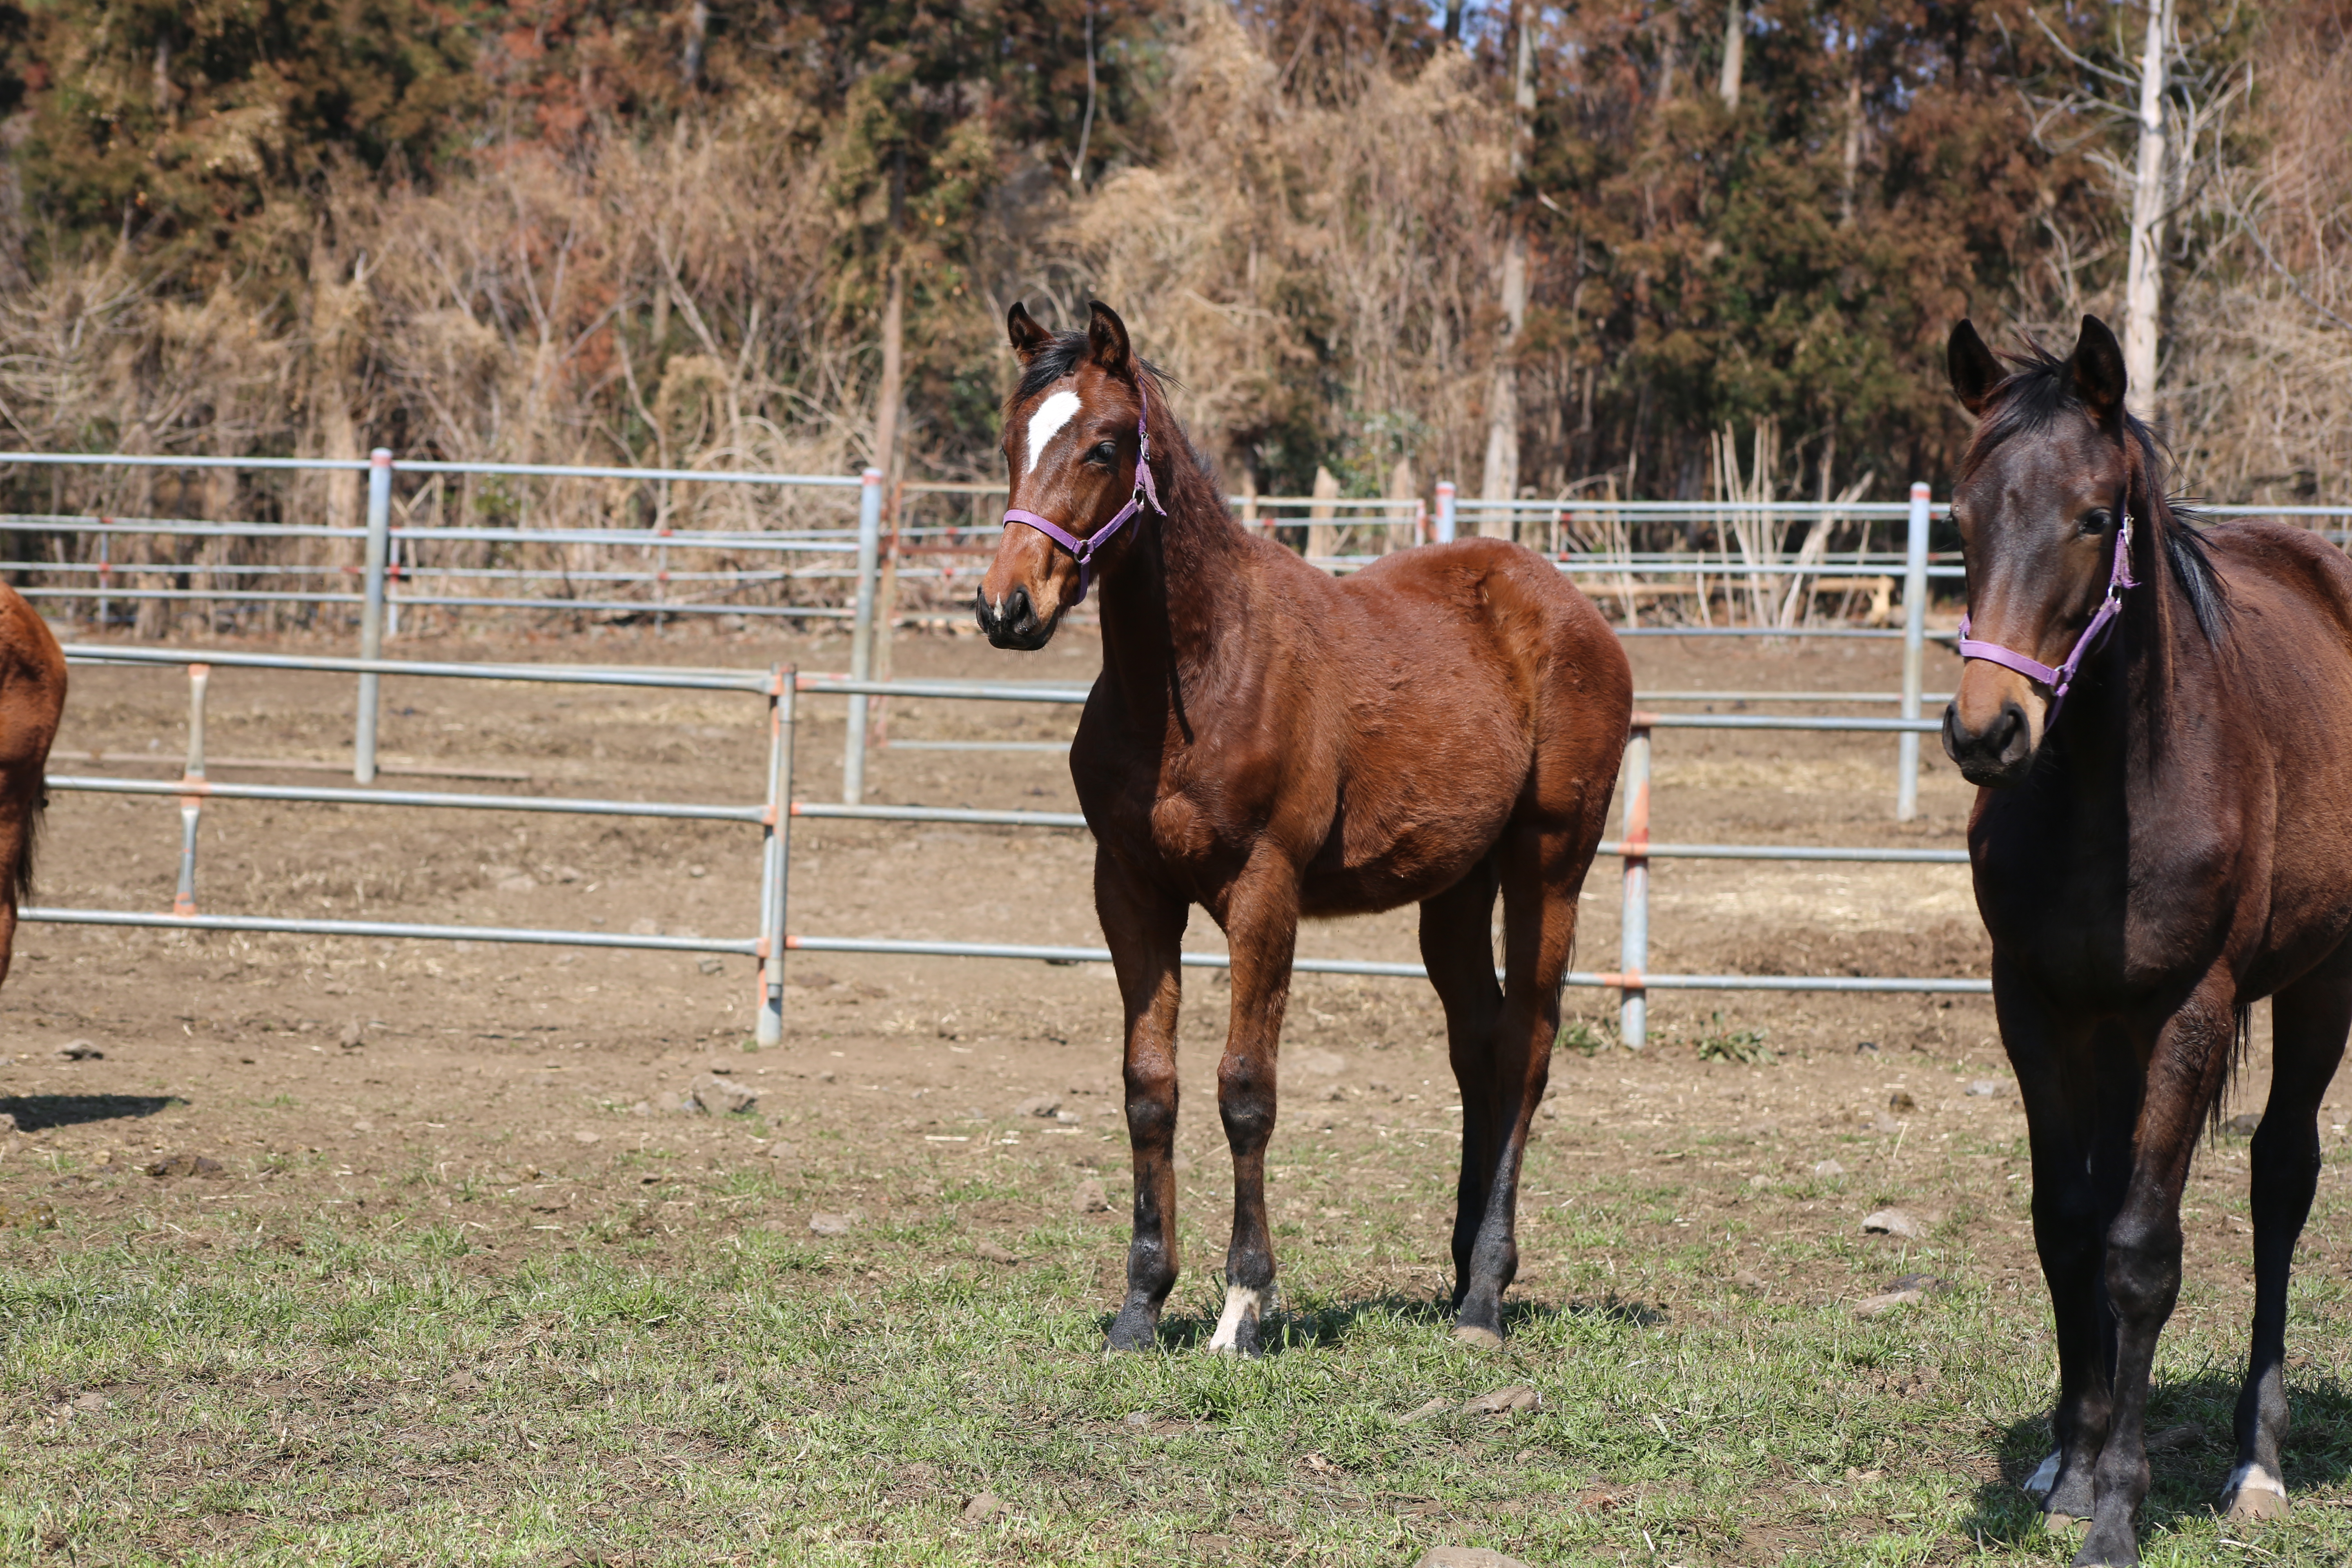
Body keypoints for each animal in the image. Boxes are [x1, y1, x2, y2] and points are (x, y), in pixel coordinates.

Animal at [978, 301, 1637, 1354]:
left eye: (1103, 446)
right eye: (1012, 440)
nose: (1006, 606)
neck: (1196, 676)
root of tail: (1572, 606)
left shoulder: (1264, 890)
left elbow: (1246, 1089)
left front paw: (1243, 1306)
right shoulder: (1128, 890)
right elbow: (1148, 1087)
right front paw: (1140, 1306)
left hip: (1549, 866)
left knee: (1527, 1048)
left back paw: (1486, 1299)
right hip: (1457, 888)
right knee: (1478, 1043)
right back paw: (1463, 1270)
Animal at [1947, 312, 2352, 1561]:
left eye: (2092, 518)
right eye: (1960, 516)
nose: (1985, 732)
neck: (2103, 791)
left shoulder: (2190, 1013)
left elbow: (2140, 1254)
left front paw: (2117, 1509)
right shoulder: (2034, 1006)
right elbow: (2067, 1223)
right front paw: (2067, 1469)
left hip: (2319, 984)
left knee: (2281, 1179)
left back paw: (2254, 1461)